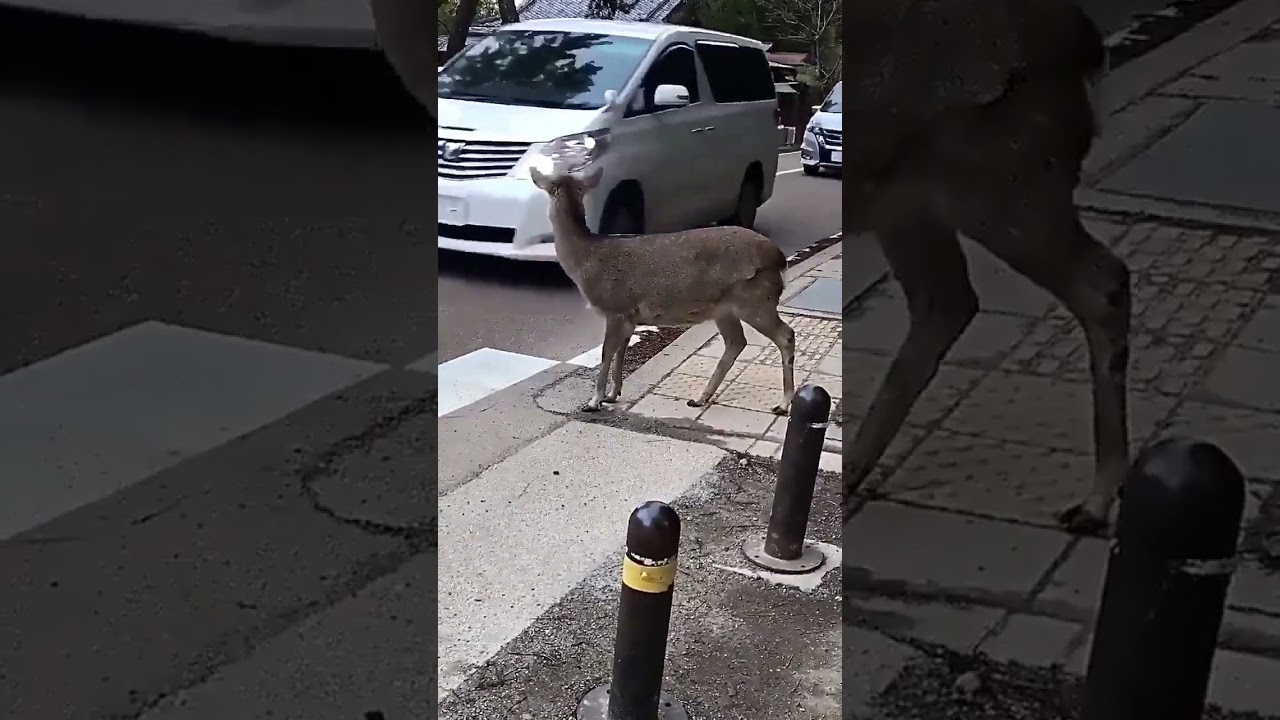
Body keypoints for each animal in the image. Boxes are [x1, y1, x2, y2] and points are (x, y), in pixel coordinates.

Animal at [526, 164, 796, 415]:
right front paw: (613, 394)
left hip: (755, 299)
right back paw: (700, 398)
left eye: (549, 188)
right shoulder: (630, 315)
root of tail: (780, 259)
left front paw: (594, 401)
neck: (584, 260)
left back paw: (783, 404)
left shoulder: (616, 306)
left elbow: (606, 353)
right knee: (736, 342)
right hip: (725, 308)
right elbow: (620, 352)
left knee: (785, 335)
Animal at [839, 0, 1131, 535]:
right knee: (947, 301)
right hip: (915, 199)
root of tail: (1083, 41)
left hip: (999, 175)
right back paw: (852, 471)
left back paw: (1094, 502)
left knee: (1102, 281)